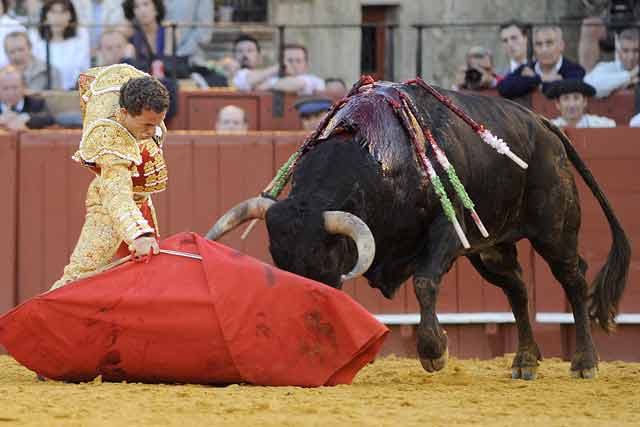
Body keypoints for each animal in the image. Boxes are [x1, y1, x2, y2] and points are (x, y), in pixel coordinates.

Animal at [209, 80, 632, 382]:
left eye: (322, 259)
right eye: (278, 258)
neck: (377, 156)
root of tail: (543, 124)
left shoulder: (448, 229)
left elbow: (425, 282)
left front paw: (434, 351)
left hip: (553, 230)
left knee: (573, 278)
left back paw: (585, 363)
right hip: (490, 248)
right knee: (517, 287)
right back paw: (525, 361)